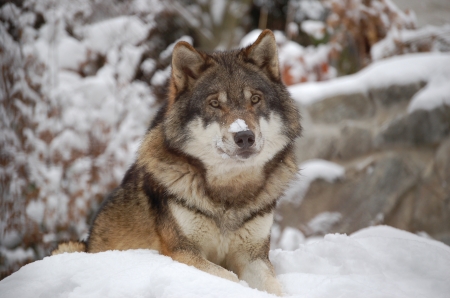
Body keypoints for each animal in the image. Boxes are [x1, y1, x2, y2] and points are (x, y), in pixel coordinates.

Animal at [54, 29, 304, 294]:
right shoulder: (181, 252)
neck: (229, 193)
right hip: (69, 247)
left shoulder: (254, 257)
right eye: (214, 103)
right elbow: (230, 278)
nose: (244, 136)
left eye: (255, 99)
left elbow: (274, 287)